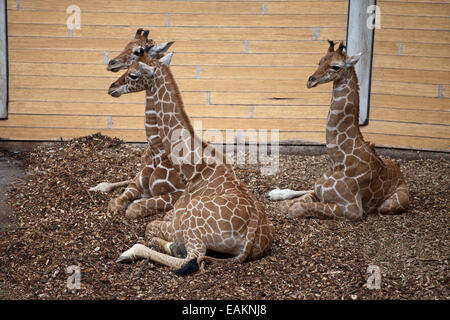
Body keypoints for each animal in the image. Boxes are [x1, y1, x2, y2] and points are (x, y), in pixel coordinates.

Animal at [89, 28, 186, 220]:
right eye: (126, 45)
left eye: (137, 51)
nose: (111, 64)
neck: (158, 153)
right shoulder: (136, 182)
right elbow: (118, 201)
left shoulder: (179, 192)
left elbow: (134, 208)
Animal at [107, 44, 274, 276]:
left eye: (133, 73)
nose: (111, 87)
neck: (195, 170)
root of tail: (251, 230)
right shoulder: (172, 213)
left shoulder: (175, 221)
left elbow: (147, 226)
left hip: (192, 229)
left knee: (187, 258)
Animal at [268, 41, 412, 221]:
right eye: (319, 62)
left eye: (336, 66)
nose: (311, 81)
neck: (337, 160)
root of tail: (399, 170)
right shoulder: (319, 191)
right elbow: (289, 204)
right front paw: (278, 198)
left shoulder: (353, 209)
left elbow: (296, 208)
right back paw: (273, 193)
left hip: (390, 205)